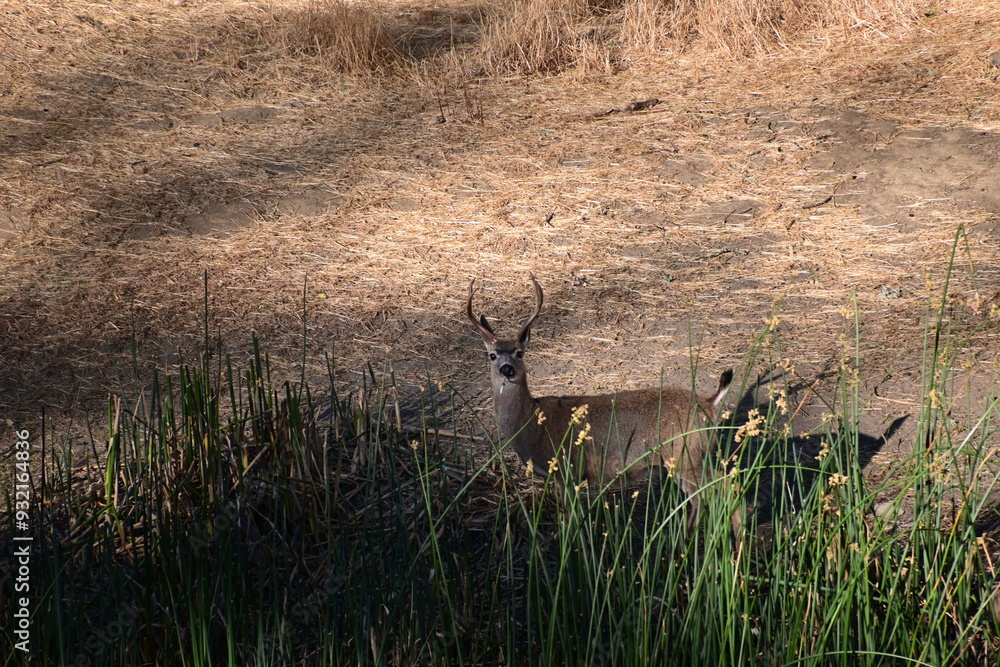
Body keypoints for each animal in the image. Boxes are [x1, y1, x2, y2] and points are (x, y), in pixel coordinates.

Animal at [467, 276, 735, 526]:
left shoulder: (568, 469)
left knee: (718, 492)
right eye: (492, 355)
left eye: (519, 353)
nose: (507, 369)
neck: (532, 424)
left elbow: (570, 521)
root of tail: (708, 403)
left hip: (685, 455)